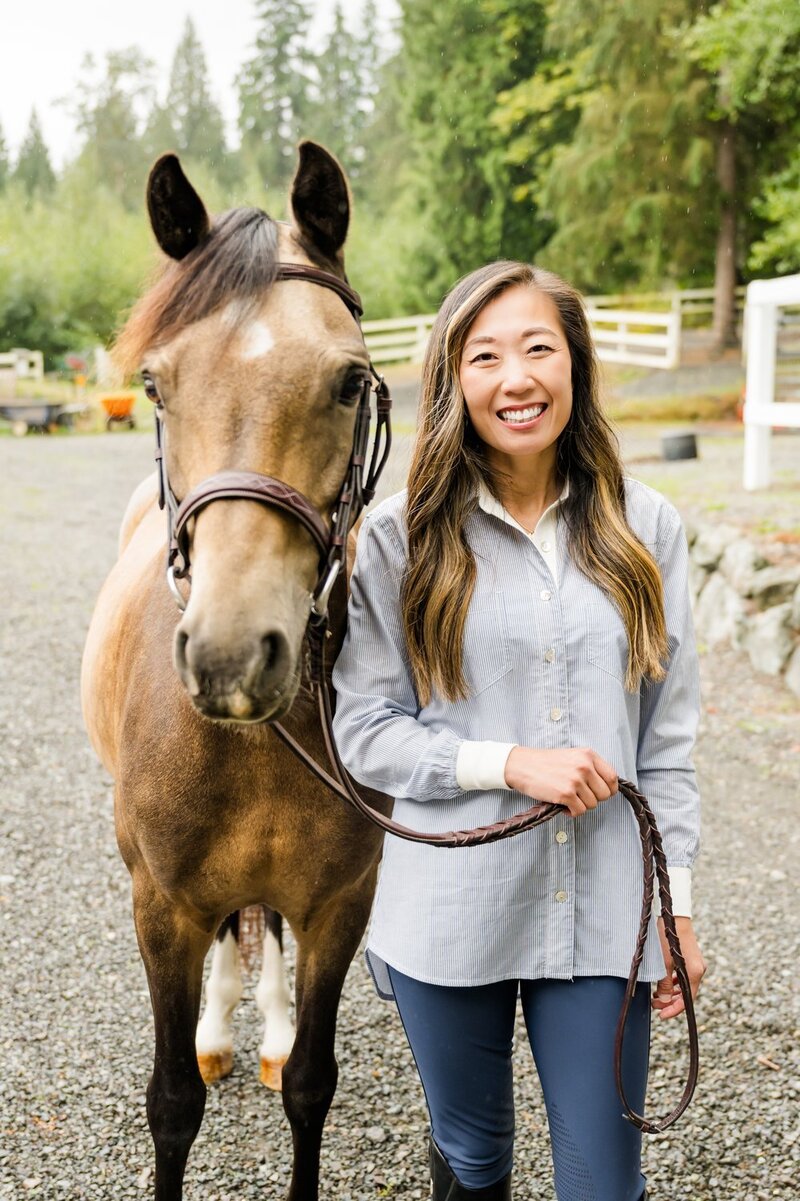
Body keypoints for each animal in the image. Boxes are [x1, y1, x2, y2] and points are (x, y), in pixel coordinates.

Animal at [81, 142, 389, 1201]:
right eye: (156, 385)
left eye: (349, 383)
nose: (228, 653)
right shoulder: (161, 906)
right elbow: (172, 1101)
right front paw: (201, 1046)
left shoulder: (343, 901)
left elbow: (312, 1084)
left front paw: (289, 1041)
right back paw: (221, 1027)